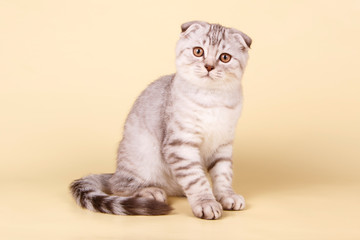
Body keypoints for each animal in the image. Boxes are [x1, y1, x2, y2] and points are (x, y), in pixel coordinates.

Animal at [69, 20, 250, 219]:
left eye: (225, 57)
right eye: (198, 51)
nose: (209, 67)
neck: (212, 98)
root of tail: (114, 172)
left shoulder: (223, 144)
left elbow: (223, 174)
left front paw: (226, 195)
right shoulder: (181, 144)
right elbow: (196, 179)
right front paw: (206, 202)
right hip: (142, 155)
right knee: (118, 186)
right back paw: (151, 191)